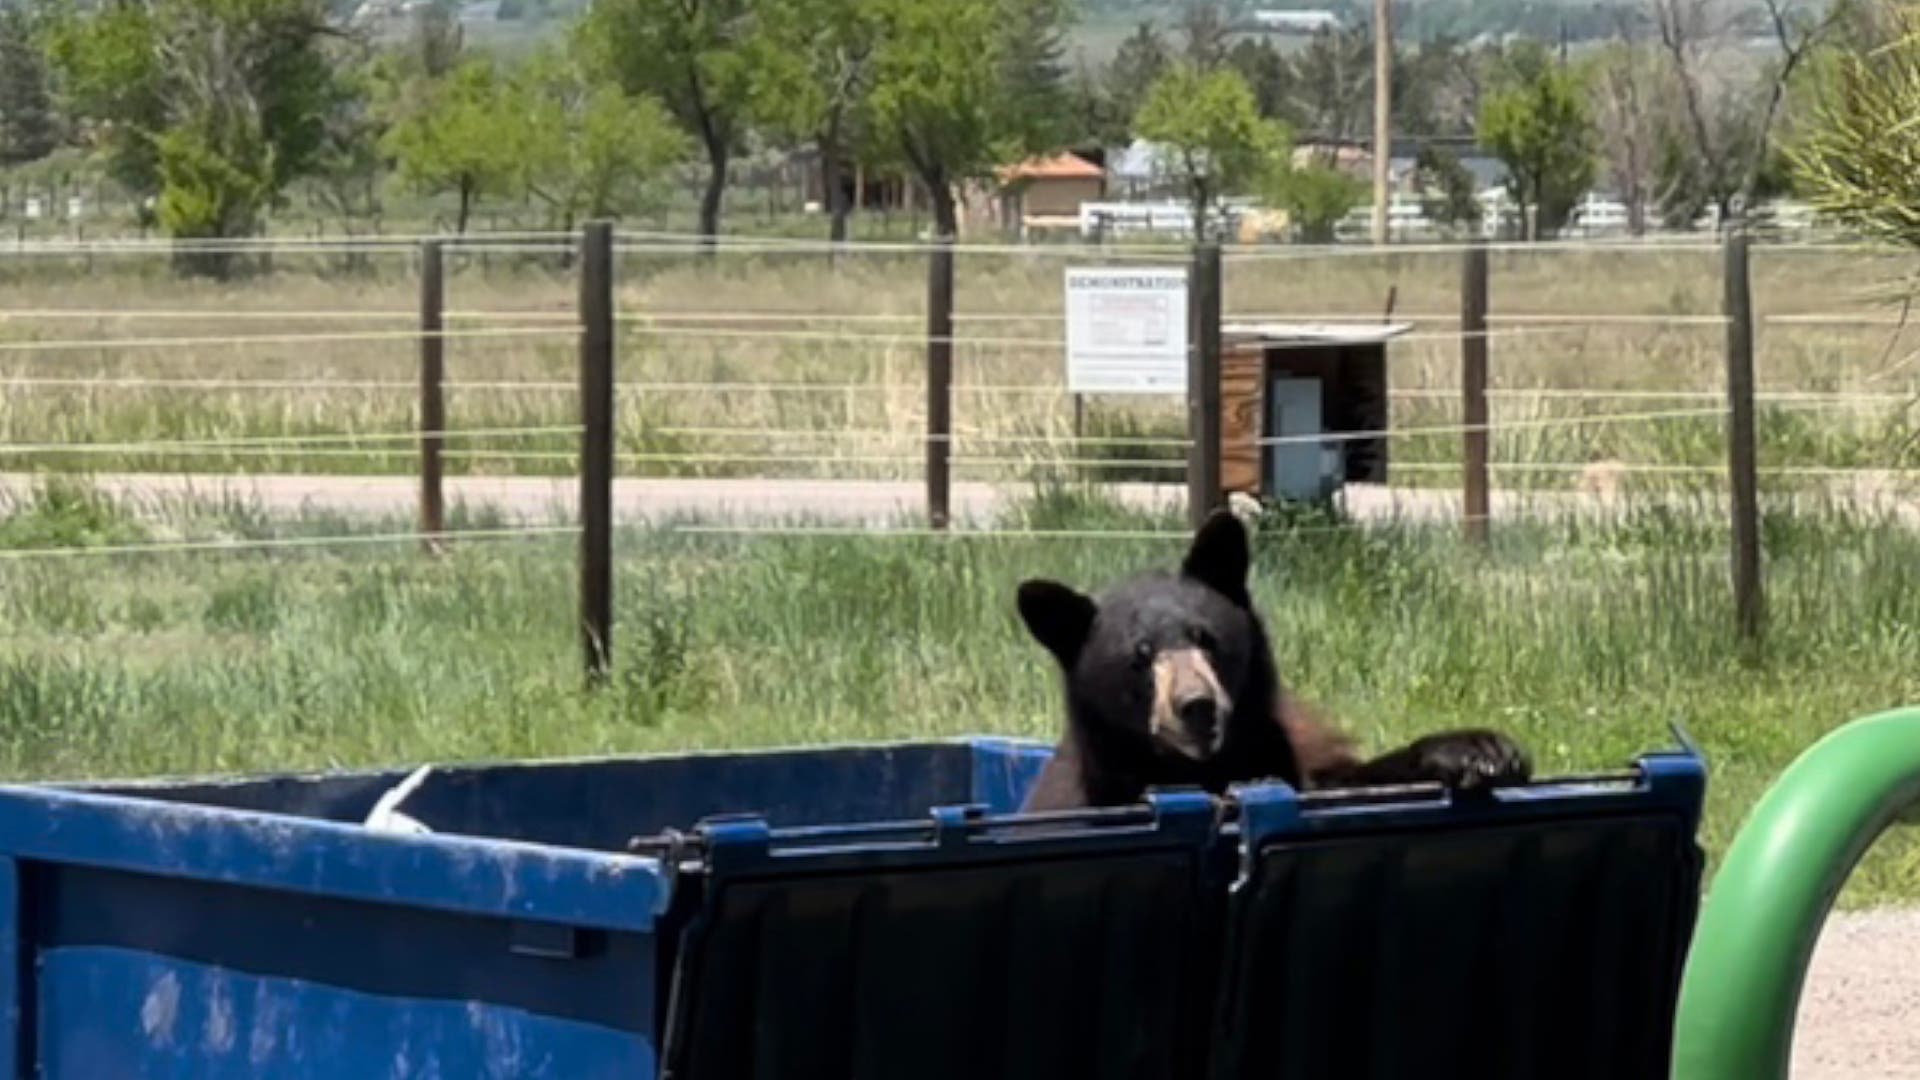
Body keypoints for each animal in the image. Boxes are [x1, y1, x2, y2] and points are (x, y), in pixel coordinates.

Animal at [1015, 508, 1532, 811]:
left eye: (1205, 637)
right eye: (1140, 657)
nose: (1197, 706)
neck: (1205, 771)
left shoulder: (1280, 756)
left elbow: (1339, 782)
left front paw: (1480, 751)